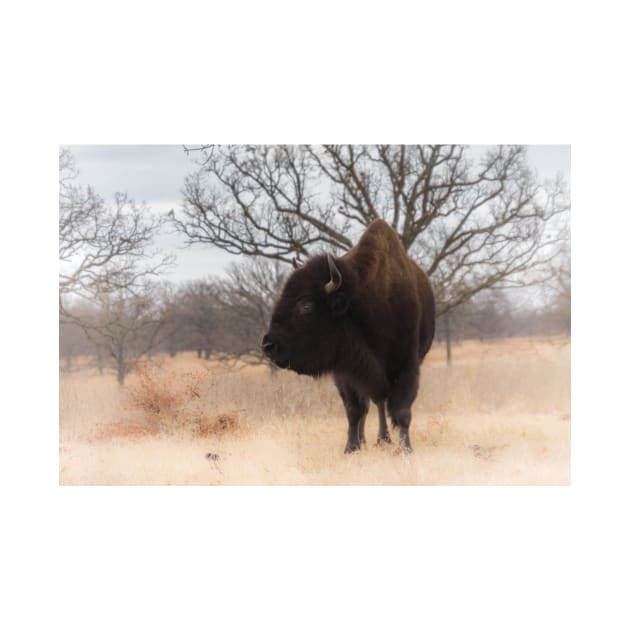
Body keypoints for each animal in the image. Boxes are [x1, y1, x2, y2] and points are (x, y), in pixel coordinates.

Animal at [262, 220, 434, 452]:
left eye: (306, 306)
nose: (268, 345)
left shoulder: (407, 366)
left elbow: (402, 411)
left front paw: (405, 448)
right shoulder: (346, 371)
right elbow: (354, 410)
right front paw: (351, 447)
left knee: (379, 402)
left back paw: (383, 439)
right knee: (371, 404)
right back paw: (368, 439)